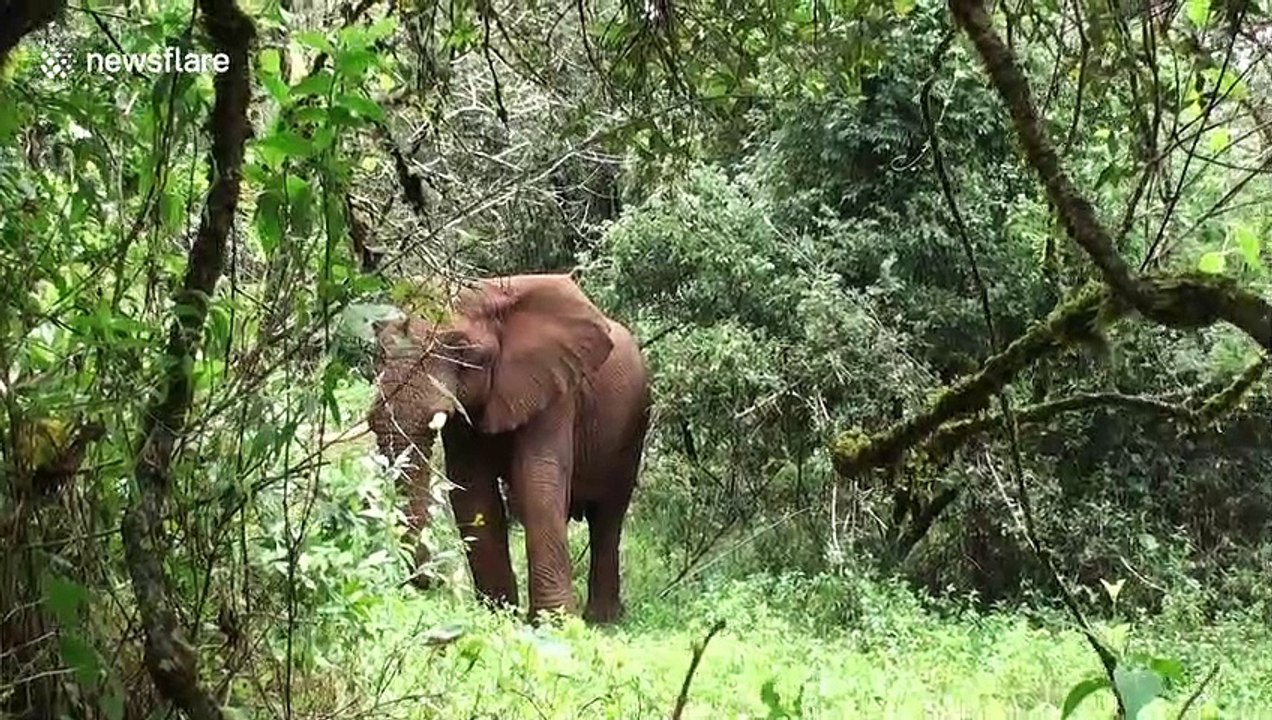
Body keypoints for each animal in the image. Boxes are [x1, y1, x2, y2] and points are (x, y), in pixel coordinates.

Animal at [367, 273, 651, 624]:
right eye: (380, 348)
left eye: (460, 348)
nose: (431, 582)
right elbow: (473, 492)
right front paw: (500, 615)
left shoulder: (557, 389)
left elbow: (538, 483)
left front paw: (554, 624)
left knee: (608, 517)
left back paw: (602, 619)